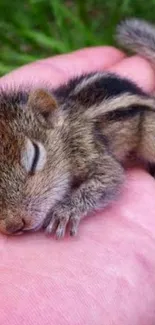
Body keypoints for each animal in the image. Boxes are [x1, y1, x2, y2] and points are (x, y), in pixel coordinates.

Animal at [0, 18, 155, 238]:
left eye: (36, 157)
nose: (13, 226)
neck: (65, 133)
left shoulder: (86, 146)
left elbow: (111, 176)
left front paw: (65, 211)